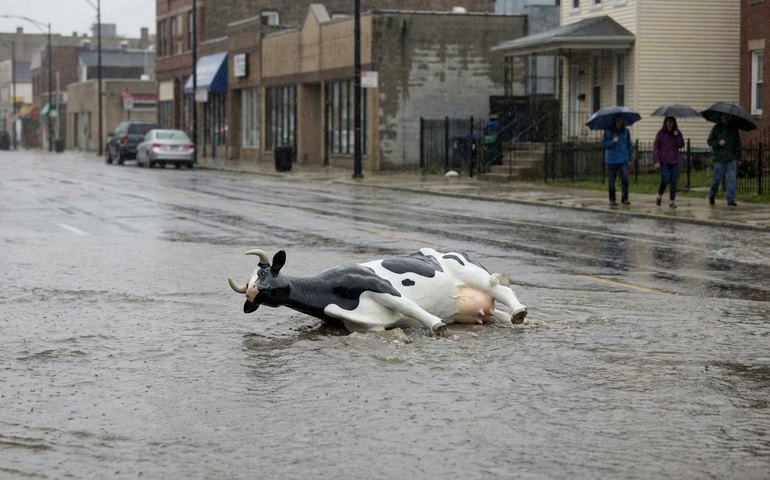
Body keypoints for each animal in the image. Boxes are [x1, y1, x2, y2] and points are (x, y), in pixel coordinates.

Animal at [228, 247, 528, 335]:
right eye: (253, 292)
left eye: (264, 274)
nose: (252, 292)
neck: (328, 296)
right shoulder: (368, 325)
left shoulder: (378, 285)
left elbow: (410, 306)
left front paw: (437, 325)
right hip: (475, 307)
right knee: (494, 311)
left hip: (474, 273)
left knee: (504, 291)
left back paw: (520, 312)